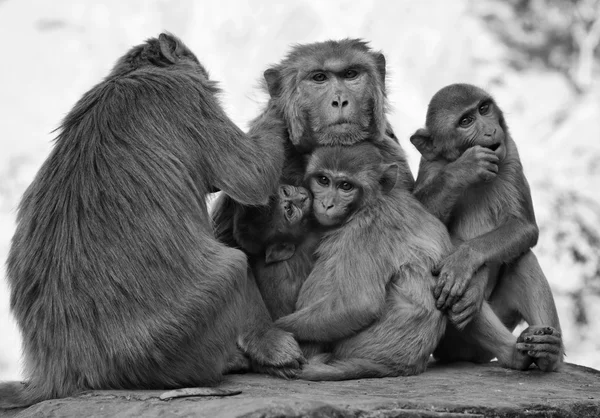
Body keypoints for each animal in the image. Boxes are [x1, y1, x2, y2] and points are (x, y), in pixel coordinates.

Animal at [410, 83, 564, 370]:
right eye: (466, 121)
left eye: (484, 109)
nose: (491, 131)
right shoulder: (431, 164)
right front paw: (464, 169)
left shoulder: (510, 151)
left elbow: (524, 227)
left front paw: (466, 263)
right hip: (447, 343)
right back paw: (515, 355)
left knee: (523, 259)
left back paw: (548, 353)